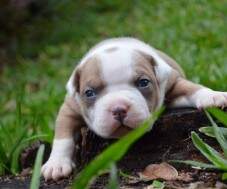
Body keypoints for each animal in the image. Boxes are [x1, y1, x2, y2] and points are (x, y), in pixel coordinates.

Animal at [40, 37, 227, 180]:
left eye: (143, 82)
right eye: (89, 93)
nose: (119, 109)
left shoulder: (173, 82)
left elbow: (191, 88)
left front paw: (213, 96)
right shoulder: (70, 107)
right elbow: (63, 136)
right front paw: (56, 164)